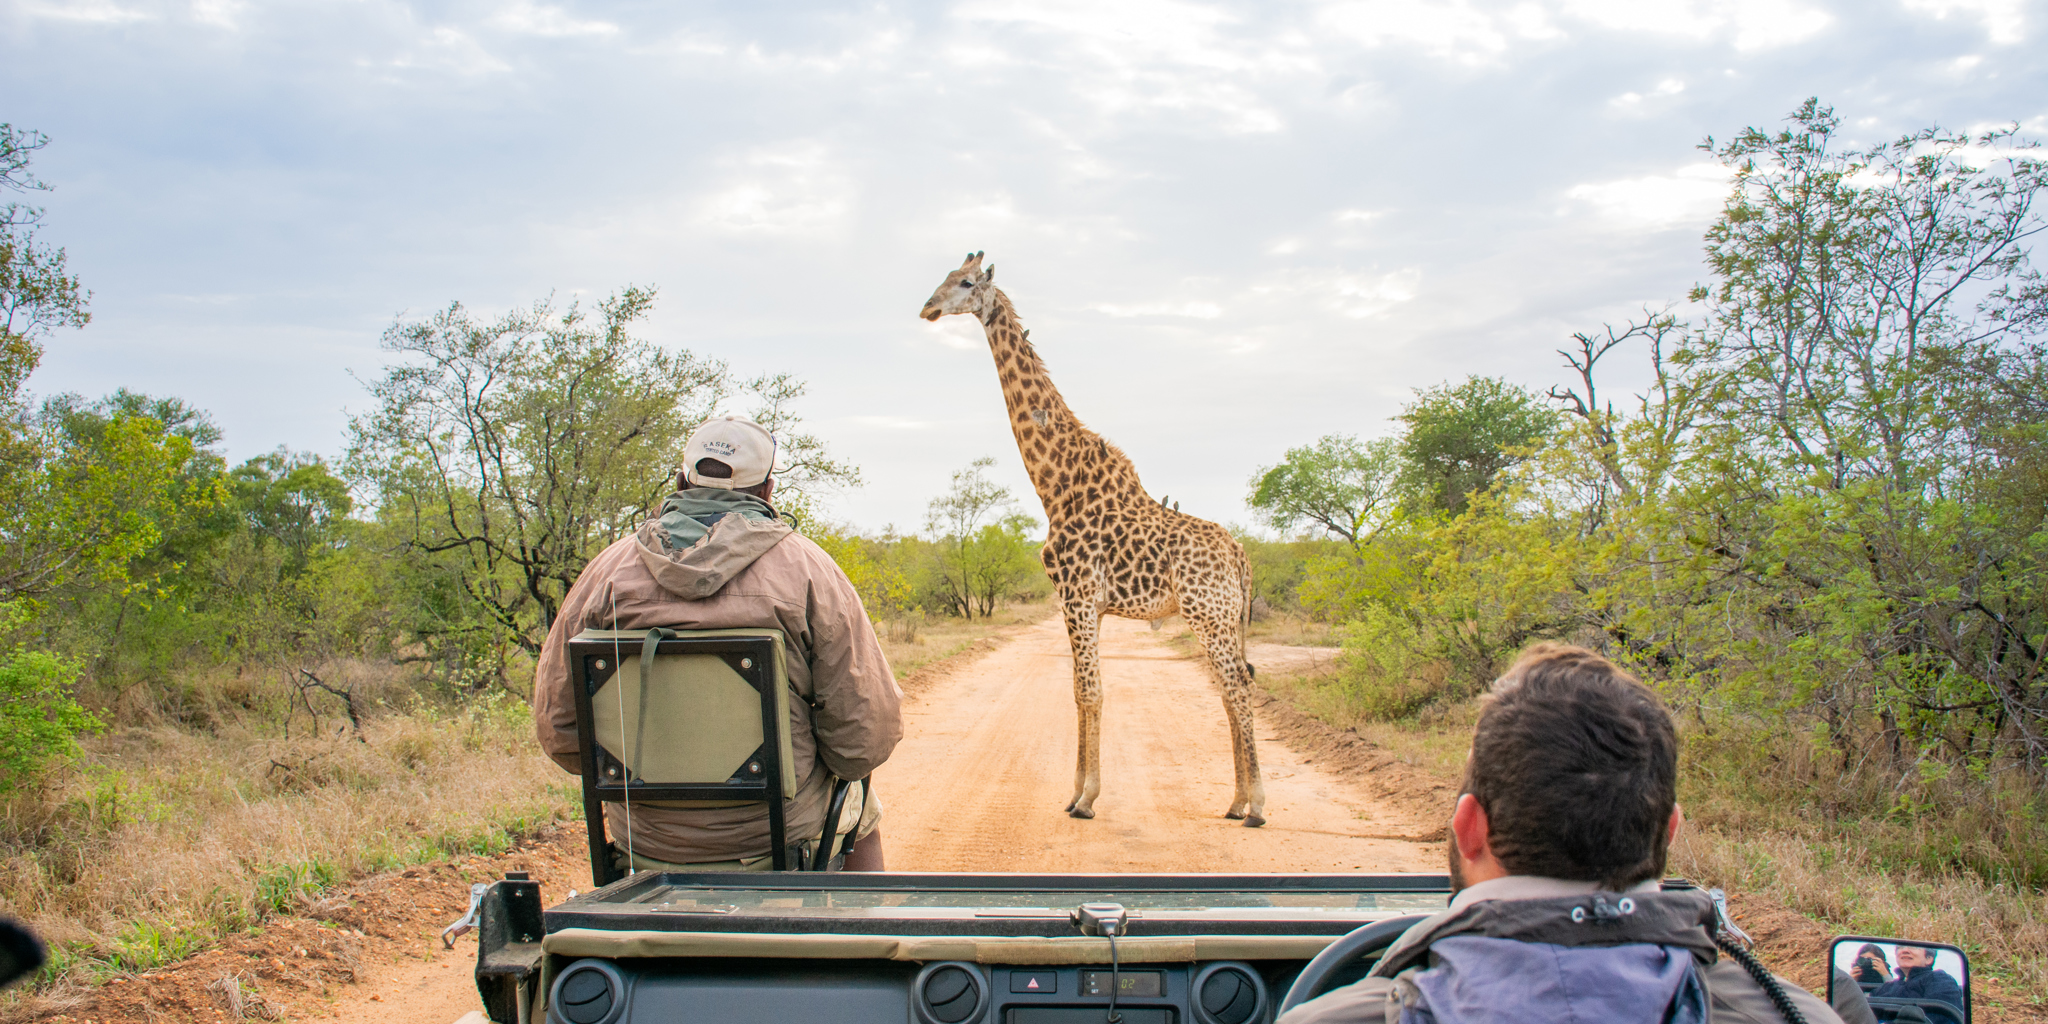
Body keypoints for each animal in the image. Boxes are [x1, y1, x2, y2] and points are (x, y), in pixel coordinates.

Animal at [920, 252, 1267, 827]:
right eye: (943, 277)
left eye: (965, 283)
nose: (927, 307)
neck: (1056, 484)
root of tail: (1240, 556)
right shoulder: (1086, 604)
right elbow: (1079, 692)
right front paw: (1074, 793)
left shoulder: (1078, 596)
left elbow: (1090, 692)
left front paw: (1086, 799)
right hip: (1218, 618)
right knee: (1228, 689)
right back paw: (1236, 801)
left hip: (1209, 614)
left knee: (1238, 689)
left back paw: (1257, 805)